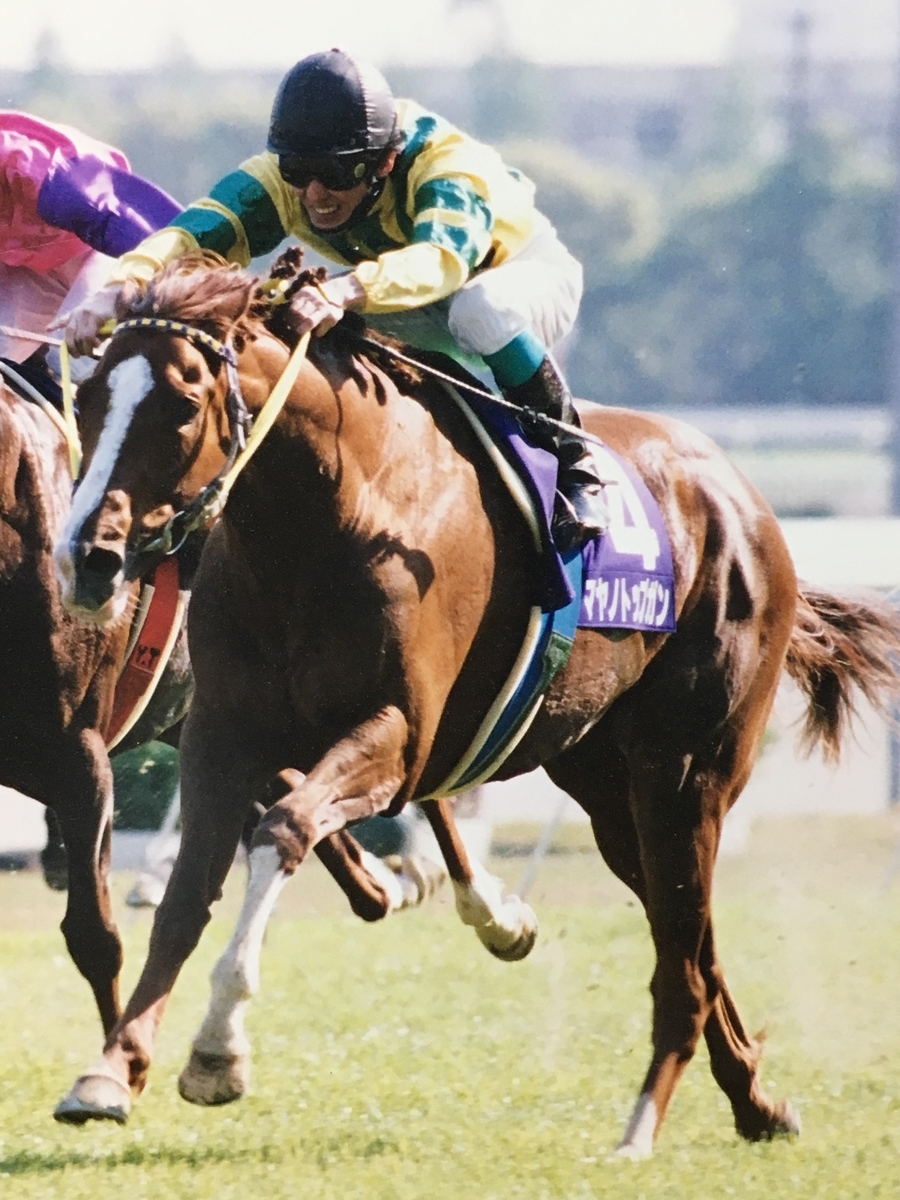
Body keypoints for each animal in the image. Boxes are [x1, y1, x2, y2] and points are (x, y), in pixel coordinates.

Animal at [51, 253, 900, 1156]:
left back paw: (642, 1124)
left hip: (689, 768)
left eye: (181, 404)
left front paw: (218, 1051)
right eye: (91, 397)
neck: (328, 514)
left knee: (683, 943)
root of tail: (742, 495)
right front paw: (110, 1071)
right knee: (689, 934)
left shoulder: (397, 737)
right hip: (609, 786)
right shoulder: (222, 734)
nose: (87, 559)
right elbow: (184, 897)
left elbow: (285, 828)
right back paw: (755, 1100)